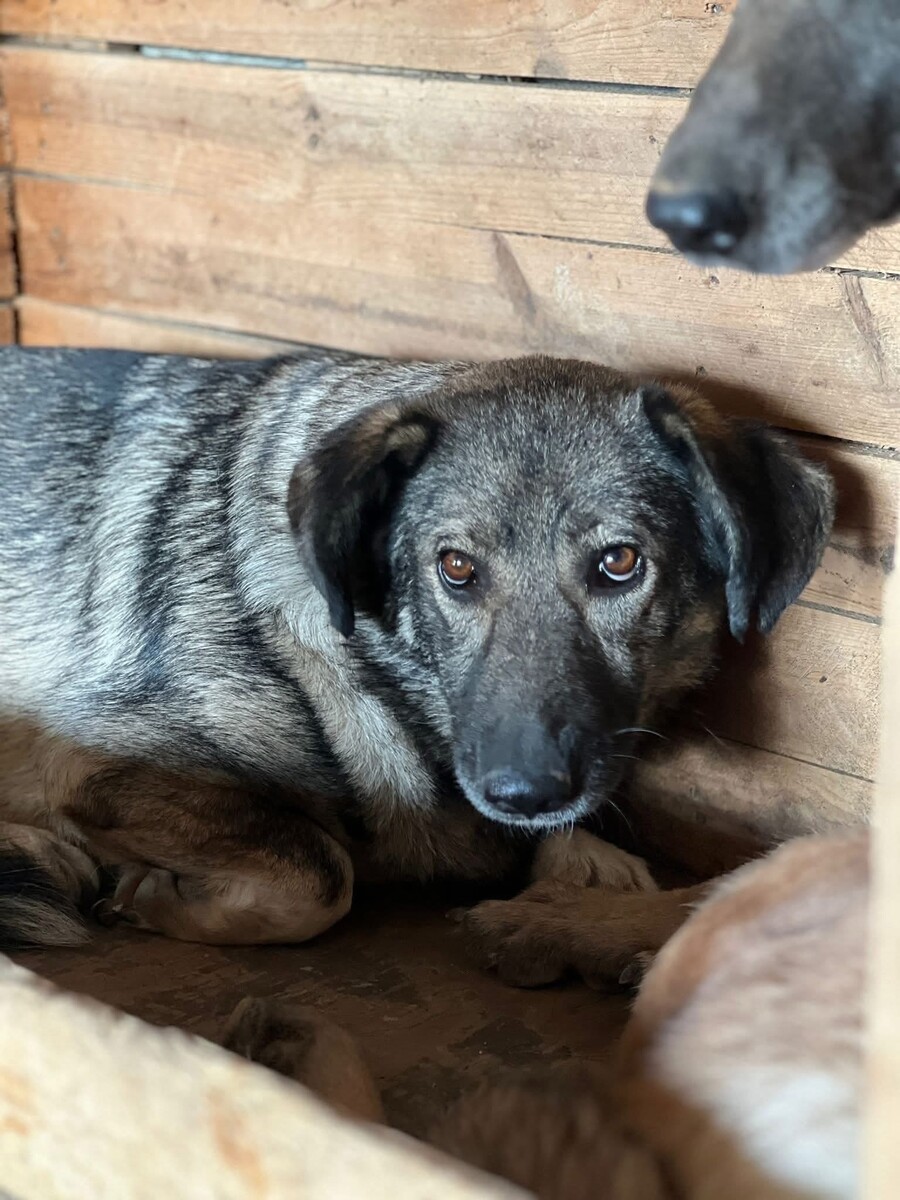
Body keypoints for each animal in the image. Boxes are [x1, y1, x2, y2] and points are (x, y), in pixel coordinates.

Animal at [0, 348, 833, 952]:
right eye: (456, 567)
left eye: (620, 563)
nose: (525, 791)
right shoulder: (94, 764)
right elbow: (321, 877)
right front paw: (156, 897)